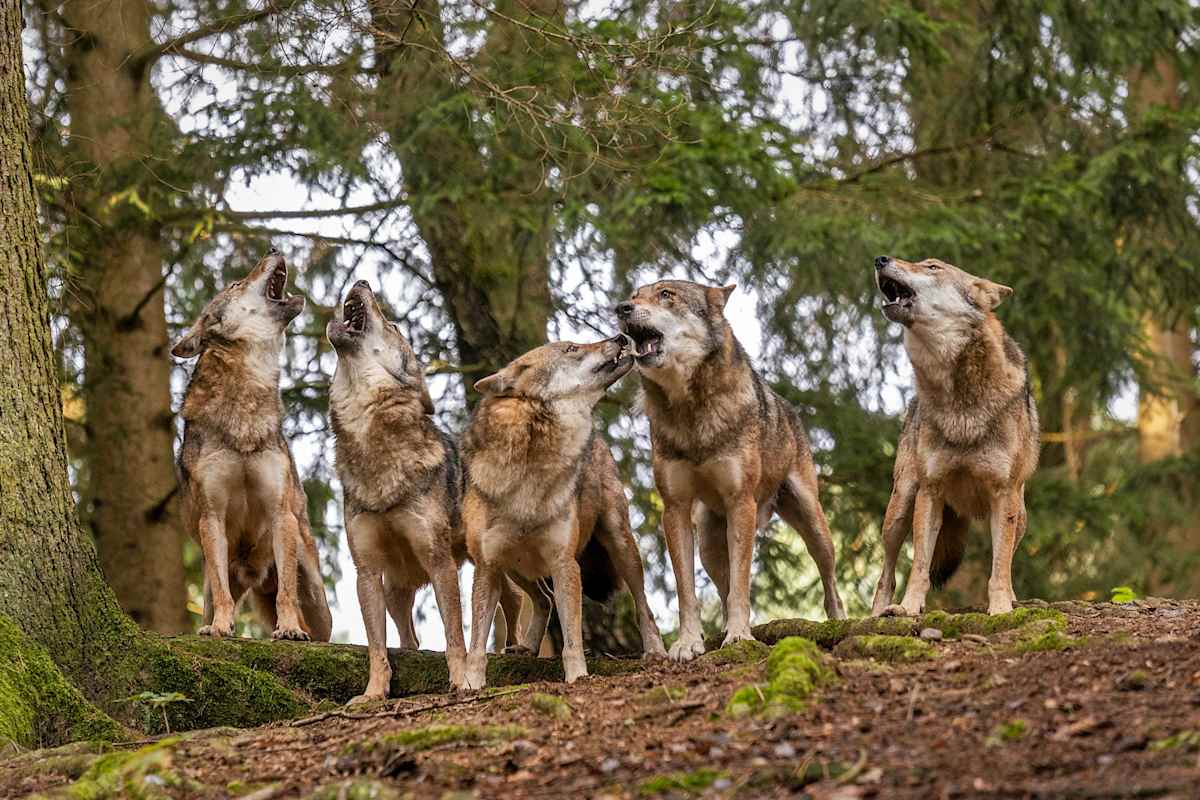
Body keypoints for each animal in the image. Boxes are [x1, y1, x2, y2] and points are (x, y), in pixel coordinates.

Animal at [172, 249, 332, 642]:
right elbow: (223, 596)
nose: (273, 248)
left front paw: (288, 629)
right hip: (215, 583)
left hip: (317, 594)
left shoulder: (280, 514)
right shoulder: (211, 518)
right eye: (234, 284)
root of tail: (254, 575)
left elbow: (286, 593)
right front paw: (220, 628)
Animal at [328, 280, 469, 702]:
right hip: (396, 590)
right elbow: (377, 645)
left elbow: (455, 637)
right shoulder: (367, 572)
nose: (363, 282)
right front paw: (374, 692)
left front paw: (463, 682)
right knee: (411, 639)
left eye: (392, 326)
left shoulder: (441, 564)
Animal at [460, 337, 666, 690]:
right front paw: (470, 684)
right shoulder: (487, 566)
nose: (620, 338)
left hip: (622, 546)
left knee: (643, 606)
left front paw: (577, 676)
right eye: (571, 348)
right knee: (542, 599)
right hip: (514, 566)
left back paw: (655, 651)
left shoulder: (564, 563)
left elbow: (572, 637)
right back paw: (527, 647)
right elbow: (475, 643)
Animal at [616, 281, 845, 662]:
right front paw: (687, 643)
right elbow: (688, 592)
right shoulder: (674, 510)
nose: (620, 308)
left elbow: (741, 585)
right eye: (634, 295)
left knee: (829, 581)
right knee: (721, 590)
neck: (692, 411)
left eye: (666, 294)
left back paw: (838, 621)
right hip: (709, 544)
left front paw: (740, 636)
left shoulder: (741, 504)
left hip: (813, 526)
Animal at [869, 255, 1039, 617]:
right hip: (900, 507)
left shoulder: (1003, 494)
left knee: (1008, 559)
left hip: (1020, 515)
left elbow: (999, 567)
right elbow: (919, 565)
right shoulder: (930, 491)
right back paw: (878, 613)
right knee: (886, 574)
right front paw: (909, 608)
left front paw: (1001, 608)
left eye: (932, 266)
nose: (880, 259)